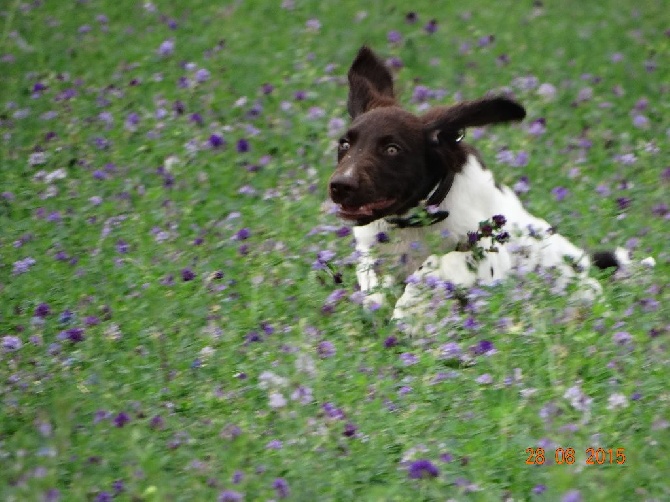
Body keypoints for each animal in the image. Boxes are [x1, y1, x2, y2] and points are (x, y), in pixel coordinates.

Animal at [330, 47, 644, 322]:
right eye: (345, 144)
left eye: (392, 149)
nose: (339, 185)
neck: (415, 222)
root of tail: (585, 265)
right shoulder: (371, 249)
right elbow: (375, 285)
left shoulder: (488, 253)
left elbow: (438, 263)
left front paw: (408, 306)